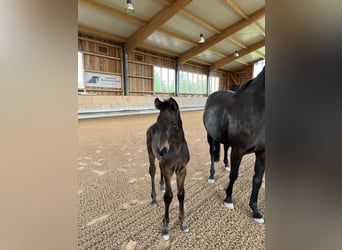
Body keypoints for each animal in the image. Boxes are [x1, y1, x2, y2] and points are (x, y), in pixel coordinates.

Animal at [146, 97, 191, 240]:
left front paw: (183, 223)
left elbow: (181, 194)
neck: (176, 149)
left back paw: (162, 186)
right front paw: (165, 227)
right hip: (150, 153)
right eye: (159, 120)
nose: (162, 150)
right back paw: (154, 199)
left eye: (174, 123)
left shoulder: (182, 170)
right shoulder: (168, 170)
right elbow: (168, 196)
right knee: (152, 170)